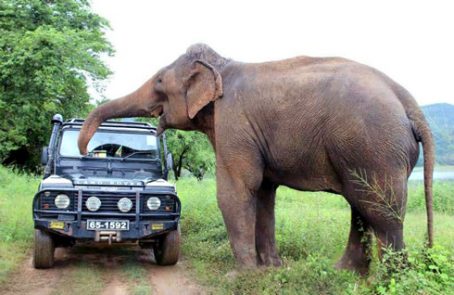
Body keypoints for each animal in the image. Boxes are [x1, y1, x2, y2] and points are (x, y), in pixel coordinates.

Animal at [77, 43, 432, 276]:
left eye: (161, 82)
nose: (88, 151)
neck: (222, 66)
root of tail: (408, 101)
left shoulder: (234, 121)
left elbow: (236, 189)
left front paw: (242, 275)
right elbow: (263, 192)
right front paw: (271, 269)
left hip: (374, 146)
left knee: (381, 212)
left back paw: (389, 281)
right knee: (362, 207)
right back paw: (344, 274)